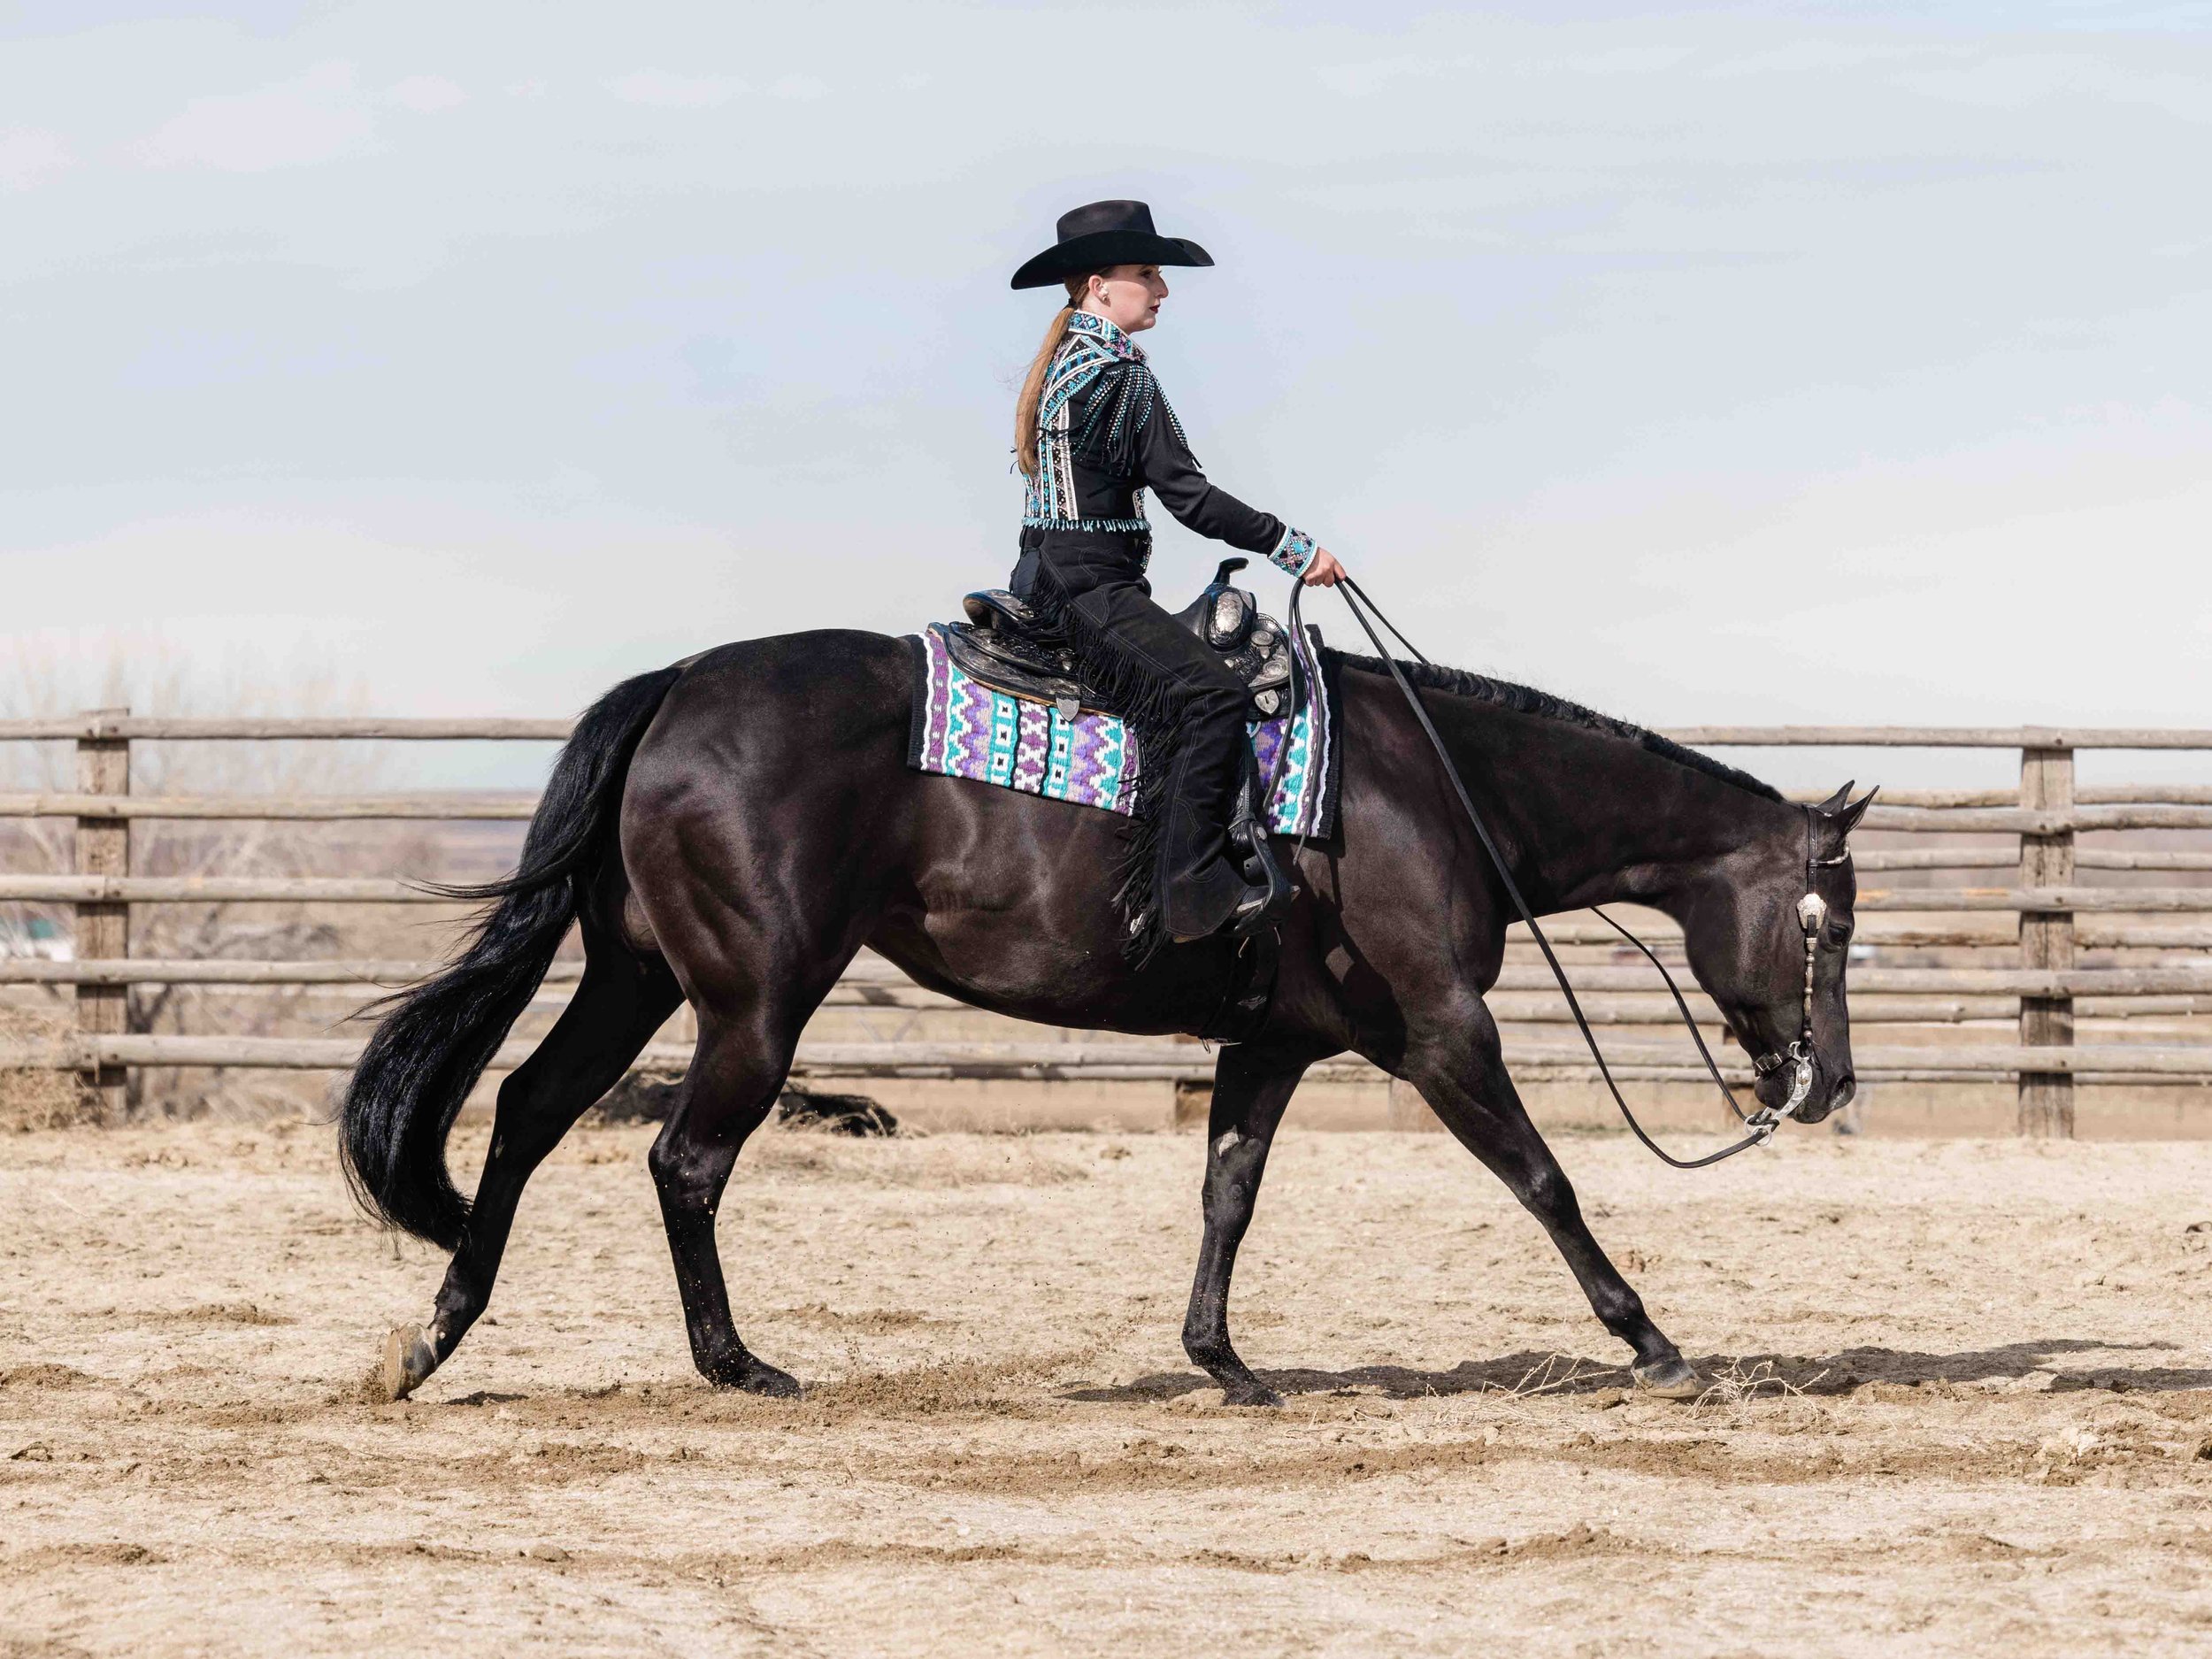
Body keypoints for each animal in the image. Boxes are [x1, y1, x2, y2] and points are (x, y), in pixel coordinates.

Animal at [341, 627, 1872, 1407]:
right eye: (1833, 920)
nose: (1830, 1082)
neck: (1434, 783)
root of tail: (674, 688)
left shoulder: (1273, 1042)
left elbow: (1228, 1189)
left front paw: (1224, 1361)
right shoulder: (1441, 1031)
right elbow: (1546, 1177)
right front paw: (1655, 1341)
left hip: (635, 973)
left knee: (529, 1109)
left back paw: (432, 1338)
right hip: (753, 1002)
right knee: (685, 1160)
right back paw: (737, 1365)